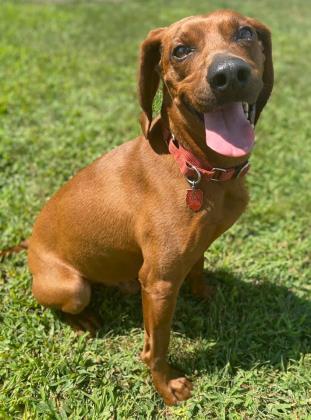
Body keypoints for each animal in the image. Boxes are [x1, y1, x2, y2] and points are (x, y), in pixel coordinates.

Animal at [25, 9, 274, 404]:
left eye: (245, 33)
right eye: (180, 50)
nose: (229, 74)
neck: (197, 167)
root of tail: (28, 245)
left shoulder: (193, 248)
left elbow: (199, 266)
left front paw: (206, 294)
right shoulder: (159, 284)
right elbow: (156, 347)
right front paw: (167, 386)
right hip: (73, 288)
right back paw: (83, 320)